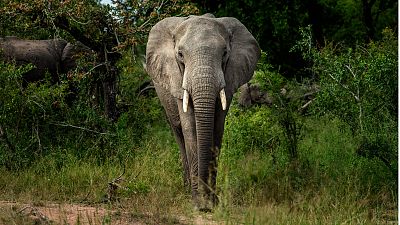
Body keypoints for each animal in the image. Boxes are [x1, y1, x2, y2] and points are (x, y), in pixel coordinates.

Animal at [145, 13, 260, 211]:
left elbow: (217, 129)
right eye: (180, 55)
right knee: (179, 134)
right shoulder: (177, 79)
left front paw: (212, 202)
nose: (204, 205)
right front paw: (198, 202)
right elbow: (190, 129)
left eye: (224, 53)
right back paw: (186, 190)